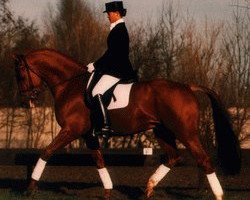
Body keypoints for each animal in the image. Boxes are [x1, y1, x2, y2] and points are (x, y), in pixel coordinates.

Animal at [13, 48, 240, 200]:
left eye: (21, 74)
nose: (25, 101)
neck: (70, 85)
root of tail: (187, 87)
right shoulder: (88, 135)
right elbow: (99, 161)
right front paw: (107, 192)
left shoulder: (71, 130)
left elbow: (46, 152)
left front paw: (30, 188)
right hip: (162, 131)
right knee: (173, 157)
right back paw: (148, 189)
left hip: (186, 132)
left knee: (204, 160)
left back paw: (218, 195)